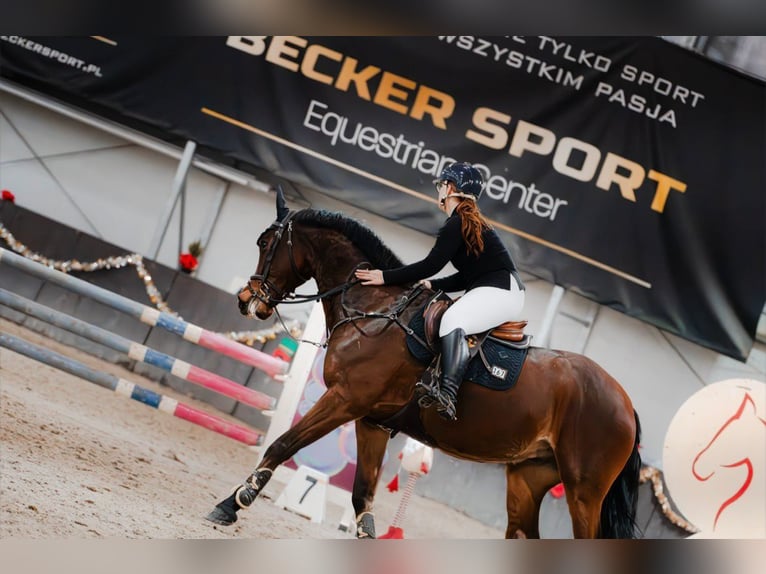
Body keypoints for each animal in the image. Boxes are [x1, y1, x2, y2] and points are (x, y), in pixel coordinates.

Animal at [205, 188, 642, 539]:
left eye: (265, 242)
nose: (246, 301)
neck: (374, 310)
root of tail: (626, 403)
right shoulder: (372, 420)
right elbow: (362, 494)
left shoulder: (345, 400)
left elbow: (283, 444)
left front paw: (231, 504)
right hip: (529, 475)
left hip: (583, 489)